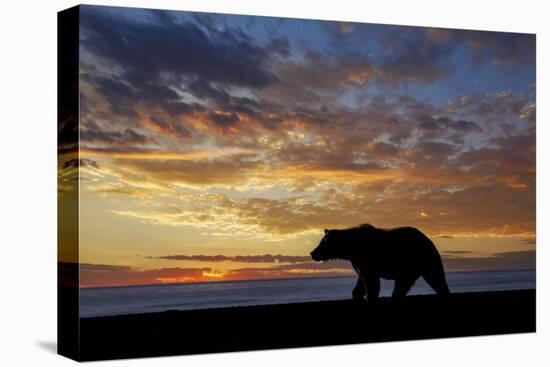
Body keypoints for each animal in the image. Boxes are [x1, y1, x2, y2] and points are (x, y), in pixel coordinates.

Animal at [312, 224, 450, 302]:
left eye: (322, 243)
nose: (312, 253)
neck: (351, 249)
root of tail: (427, 239)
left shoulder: (368, 260)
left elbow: (371, 281)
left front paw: (370, 297)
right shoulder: (358, 262)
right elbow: (361, 280)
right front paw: (357, 295)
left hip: (418, 258)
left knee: (433, 277)